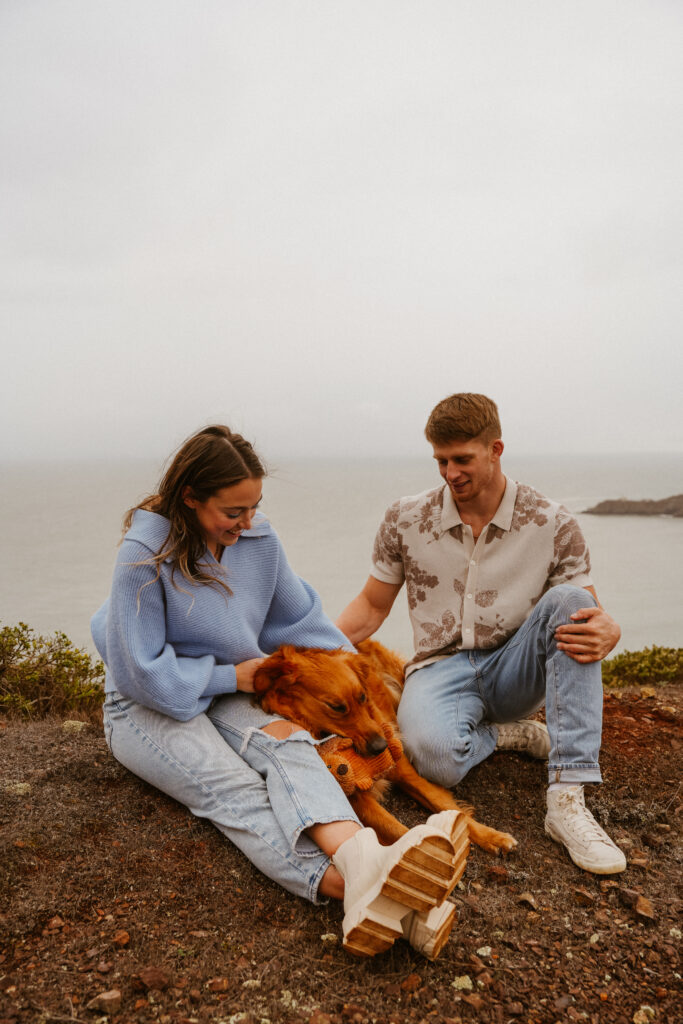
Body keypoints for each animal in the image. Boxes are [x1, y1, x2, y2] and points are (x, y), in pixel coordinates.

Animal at [253, 638, 516, 856]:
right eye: (337, 707)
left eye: (362, 696)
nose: (381, 747)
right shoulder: (357, 800)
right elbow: (397, 829)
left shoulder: (403, 770)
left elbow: (443, 803)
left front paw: (491, 835)